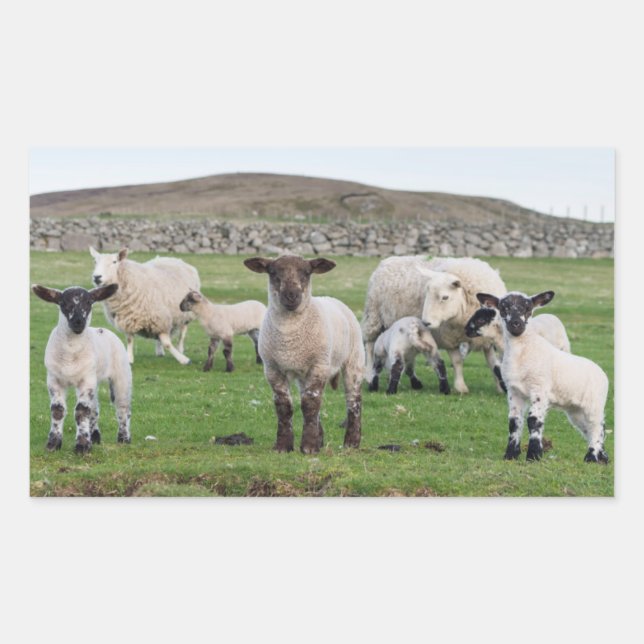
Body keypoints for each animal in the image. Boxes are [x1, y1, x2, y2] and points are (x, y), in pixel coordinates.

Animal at [32, 283, 132, 453]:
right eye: (62, 303)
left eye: (89, 302)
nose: (78, 322)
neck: (70, 355)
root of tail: (102, 329)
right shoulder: (54, 380)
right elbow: (57, 410)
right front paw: (53, 444)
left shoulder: (86, 380)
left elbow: (81, 411)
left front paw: (82, 446)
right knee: (95, 408)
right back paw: (96, 437)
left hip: (122, 375)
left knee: (122, 407)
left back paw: (124, 438)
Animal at [244, 255, 364, 454]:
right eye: (272, 272)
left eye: (307, 272)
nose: (291, 295)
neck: (289, 338)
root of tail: (331, 298)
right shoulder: (272, 368)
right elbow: (284, 406)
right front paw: (283, 446)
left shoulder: (319, 365)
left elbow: (310, 404)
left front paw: (308, 447)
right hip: (303, 374)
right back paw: (321, 439)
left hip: (353, 360)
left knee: (353, 400)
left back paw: (351, 443)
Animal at [361, 255, 506, 395]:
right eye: (427, 294)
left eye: (445, 297)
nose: (425, 322)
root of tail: (388, 260)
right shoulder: (449, 339)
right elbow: (457, 361)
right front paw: (461, 387)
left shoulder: (487, 339)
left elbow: (493, 364)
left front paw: (500, 387)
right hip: (374, 316)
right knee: (370, 346)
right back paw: (369, 376)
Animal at [476, 290, 609, 463]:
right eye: (503, 307)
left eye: (528, 307)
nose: (516, 324)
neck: (522, 352)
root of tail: (602, 373)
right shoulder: (514, 391)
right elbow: (514, 421)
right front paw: (511, 455)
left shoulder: (539, 388)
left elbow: (533, 420)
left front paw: (534, 455)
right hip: (575, 410)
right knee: (588, 428)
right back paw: (602, 458)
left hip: (594, 404)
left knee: (597, 427)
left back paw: (592, 457)